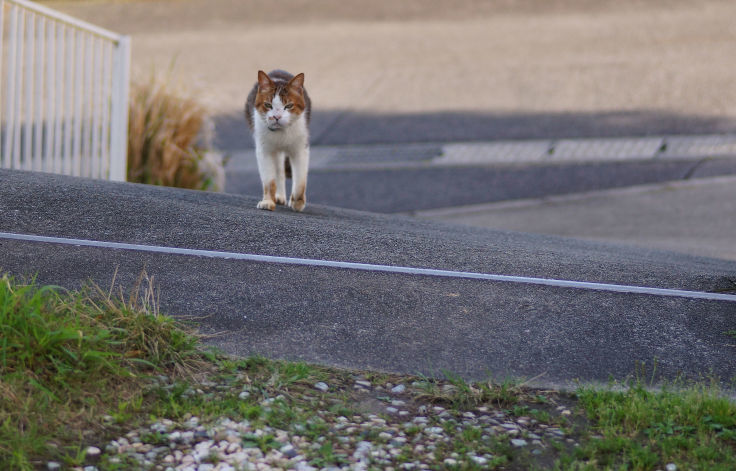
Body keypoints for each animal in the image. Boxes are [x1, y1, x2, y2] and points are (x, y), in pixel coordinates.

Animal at [243, 69, 310, 211]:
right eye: (268, 105)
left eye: (288, 106)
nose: (276, 116)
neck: (281, 134)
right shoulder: (264, 151)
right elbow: (269, 180)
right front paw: (268, 201)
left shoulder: (300, 148)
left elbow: (300, 178)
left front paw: (297, 201)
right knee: (279, 171)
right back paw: (279, 196)